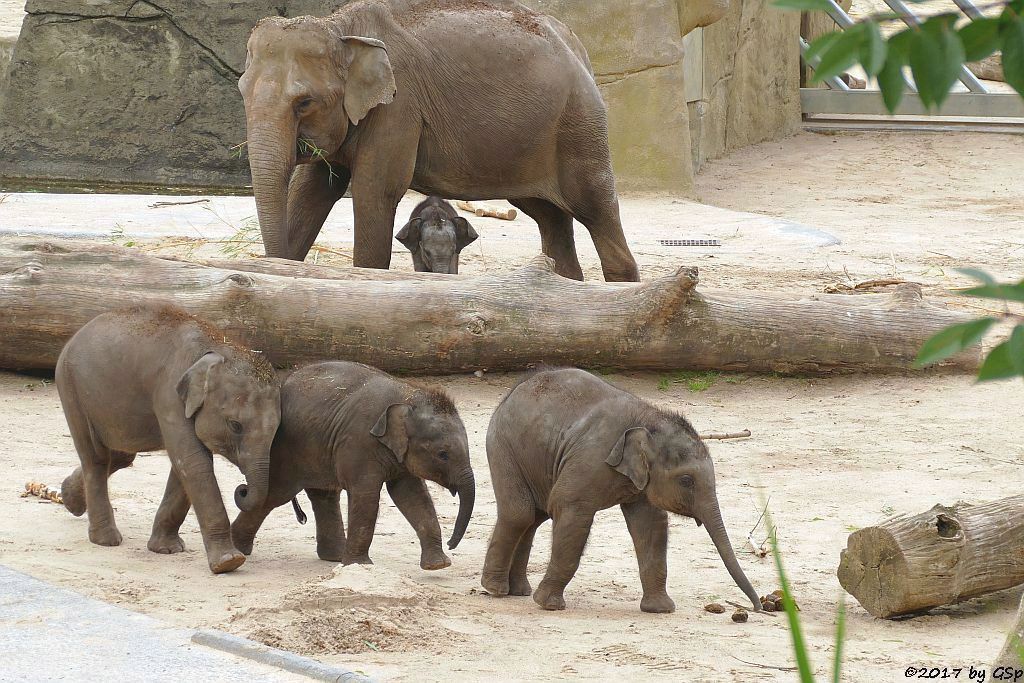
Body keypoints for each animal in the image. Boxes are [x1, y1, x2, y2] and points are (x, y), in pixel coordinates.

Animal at [56, 305, 280, 573]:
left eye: (277, 429)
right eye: (235, 425)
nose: (243, 489)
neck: (218, 344)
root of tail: (74, 335)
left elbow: (184, 465)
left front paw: (167, 549)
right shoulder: (169, 394)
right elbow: (194, 462)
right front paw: (229, 563)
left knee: (121, 456)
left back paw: (69, 499)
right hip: (72, 389)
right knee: (96, 458)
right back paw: (105, 540)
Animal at [239, 0, 638, 282]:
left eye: (304, 102)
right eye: (242, 90)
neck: (340, 27)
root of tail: (577, 46)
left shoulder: (400, 107)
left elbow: (375, 189)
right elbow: (311, 191)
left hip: (579, 122)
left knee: (595, 205)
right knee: (549, 215)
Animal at [479, 368, 761, 614]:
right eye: (686, 481)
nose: (758, 607)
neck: (649, 419)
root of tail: (511, 392)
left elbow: (650, 524)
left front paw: (660, 610)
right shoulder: (590, 461)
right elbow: (570, 511)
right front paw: (549, 605)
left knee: (534, 518)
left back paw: (519, 591)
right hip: (503, 447)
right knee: (520, 514)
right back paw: (495, 589)